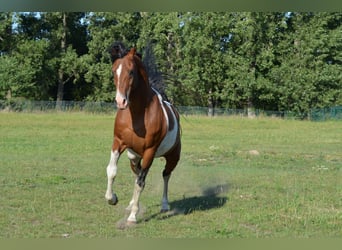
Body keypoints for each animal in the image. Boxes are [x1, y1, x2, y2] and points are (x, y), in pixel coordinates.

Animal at [105, 43, 182, 225]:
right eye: (114, 71)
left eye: (131, 71)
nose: (120, 101)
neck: (138, 114)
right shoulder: (118, 143)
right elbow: (112, 170)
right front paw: (112, 199)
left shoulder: (149, 152)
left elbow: (141, 182)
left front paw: (133, 217)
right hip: (133, 157)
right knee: (137, 173)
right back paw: (130, 204)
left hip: (173, 156)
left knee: (165, 175)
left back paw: (165, 205)